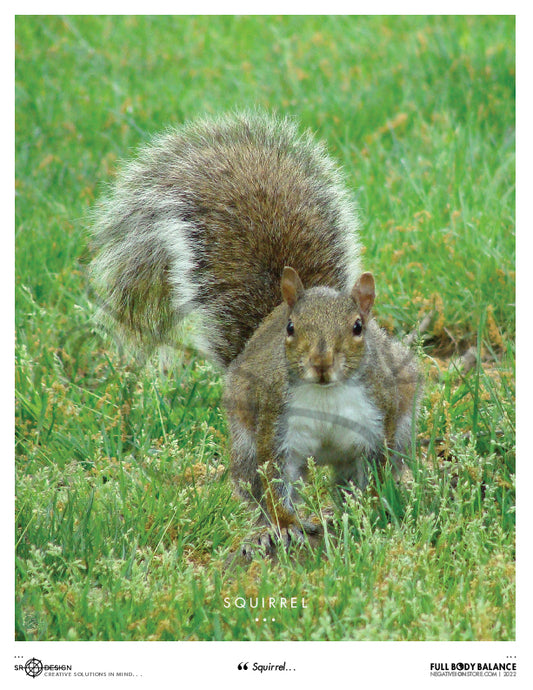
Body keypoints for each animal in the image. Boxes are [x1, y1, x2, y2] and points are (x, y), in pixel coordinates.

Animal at [89, 110, 420, 552]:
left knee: (349, 481)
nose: (321, 363)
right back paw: (265, 531)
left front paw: (370, 512)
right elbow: (274, 481)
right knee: (253, 485)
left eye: (357, 328)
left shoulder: (377, 420)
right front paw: (284, 525)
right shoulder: (274, 425)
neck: (326, 395)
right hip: (245, 438)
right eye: (292, 329)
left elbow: (374, 473)